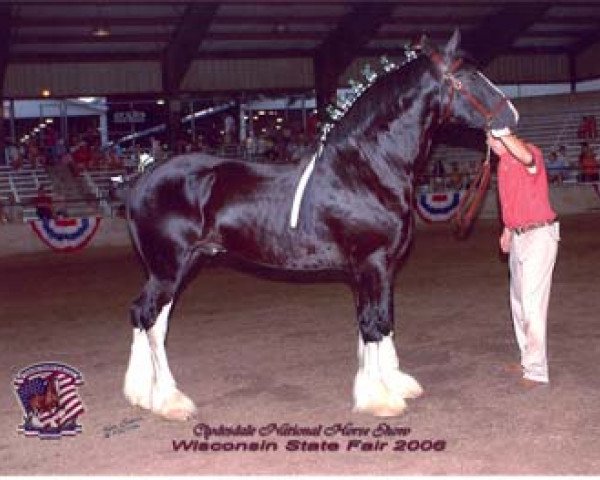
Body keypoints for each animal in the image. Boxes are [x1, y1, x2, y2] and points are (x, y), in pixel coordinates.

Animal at [123, 31, 520, 420]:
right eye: (467, 76)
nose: (512, 115)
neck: (366, 168)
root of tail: (143, 180)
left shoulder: (380, 267)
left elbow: (380, 319)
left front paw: (391, 383)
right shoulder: (372, 262)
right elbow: (373, 324)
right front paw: (379, 399)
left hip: (177, 266)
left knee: (147, 317)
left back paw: (141, 394)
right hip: (169, 268)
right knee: (151, 319)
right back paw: (171, 401)